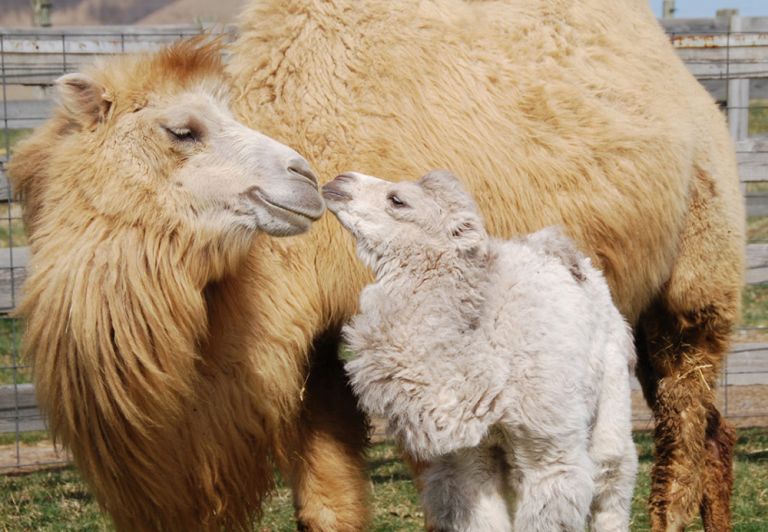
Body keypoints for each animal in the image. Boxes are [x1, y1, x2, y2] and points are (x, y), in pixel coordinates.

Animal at [326, 170, 638, 531]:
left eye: (398, 200)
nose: (339, 179)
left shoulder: (550, 454)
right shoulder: (468, 458)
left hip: (612, 389)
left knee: (611, 476)